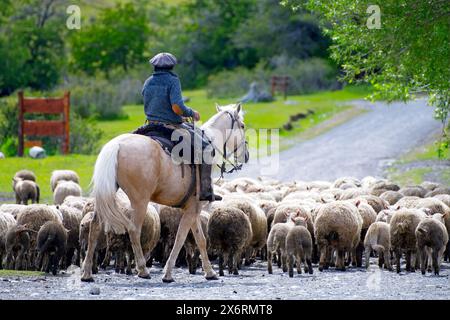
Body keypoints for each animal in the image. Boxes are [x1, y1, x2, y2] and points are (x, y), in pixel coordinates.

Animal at [81, 102, 250, 282]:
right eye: (242, 125)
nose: (246, 155)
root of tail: (117, 145)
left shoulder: (192, 209)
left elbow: (201, 240)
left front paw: (209, 272)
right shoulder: (192, 209)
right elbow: (180, 238)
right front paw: (168, 273)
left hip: (106, 197)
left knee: (95, 226)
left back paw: (86, 273)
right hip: (140, 201)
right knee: (134, 230)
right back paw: (143, 270)